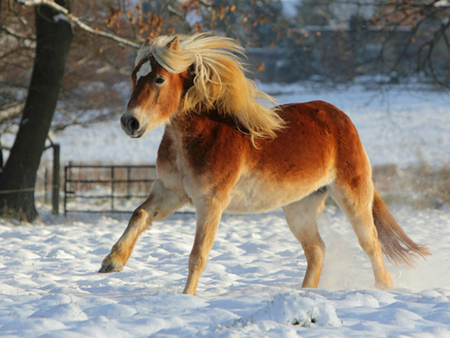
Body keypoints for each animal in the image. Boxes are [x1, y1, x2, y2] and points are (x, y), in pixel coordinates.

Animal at [98, 33, 428, 294]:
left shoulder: (211, 202)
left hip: (352, 194)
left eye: (159, 78)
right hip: (299, 208)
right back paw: (305, 294)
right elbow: (140, 214)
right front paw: (112, 262)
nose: (130, 122)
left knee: (371, 244)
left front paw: (187, 298)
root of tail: (339, 117)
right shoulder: (171, 191)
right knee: (317, 251)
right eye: (134, 76)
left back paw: (383, 289)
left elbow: (198, 255)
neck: (197, 136)